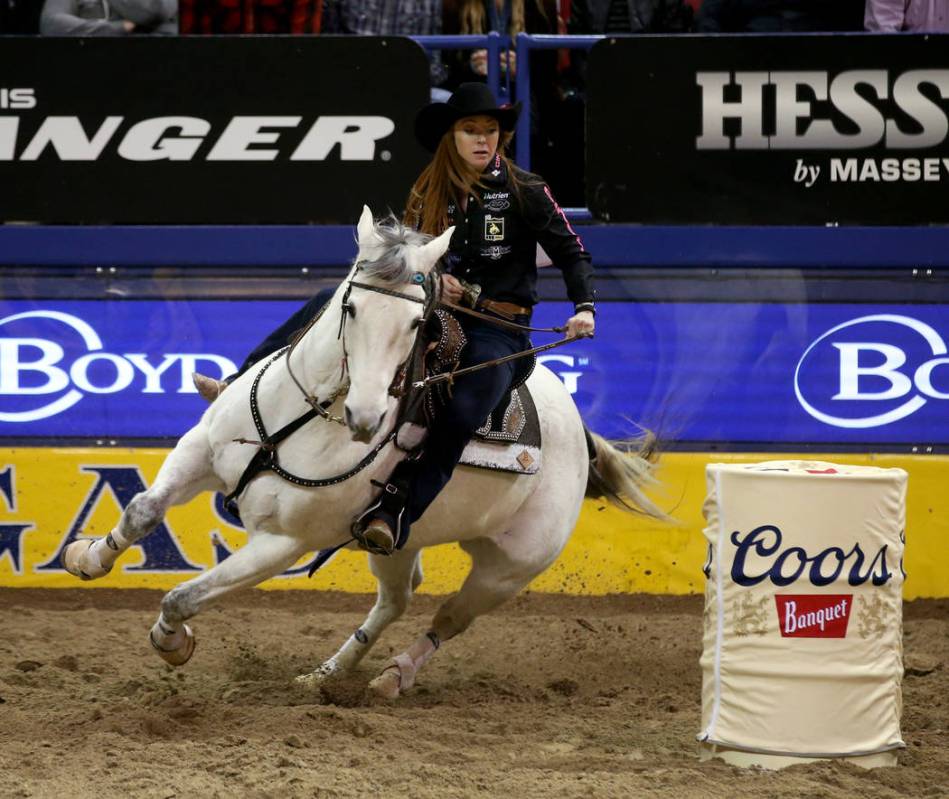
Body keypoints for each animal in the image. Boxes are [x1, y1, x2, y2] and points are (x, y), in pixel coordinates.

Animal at [63, 206, 664, 700]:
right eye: (350, 307)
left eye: (417, 322)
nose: (367, 417)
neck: (302, 415)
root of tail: (579, 428)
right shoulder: (199, 452)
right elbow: (143, 510)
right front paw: (87, 557)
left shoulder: (283, 544)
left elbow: (184, 596)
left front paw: (172, 641)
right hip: (396, 538)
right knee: (396, 600)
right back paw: (325, 675)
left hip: (511, 567)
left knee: (448, 618)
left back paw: (394, 675)